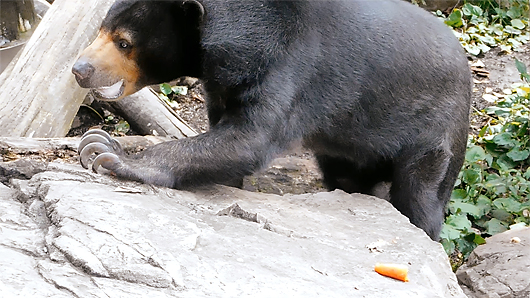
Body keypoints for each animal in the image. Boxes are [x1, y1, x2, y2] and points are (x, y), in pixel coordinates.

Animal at [71, 0, 470, 240]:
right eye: (102, 29)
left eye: (124, 42)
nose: (79, 69)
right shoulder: (222, 85)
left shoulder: (289, 67)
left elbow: (249, 138)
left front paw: (108, 152)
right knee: (347, 177)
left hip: (434, 131)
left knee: (421, 195)